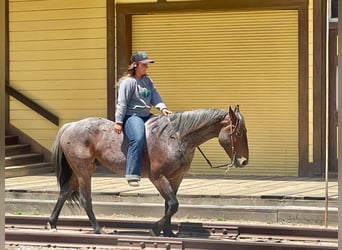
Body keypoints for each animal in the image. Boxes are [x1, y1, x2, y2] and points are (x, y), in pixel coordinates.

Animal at [47, 105, 248, 236]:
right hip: (84, 170)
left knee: (64, 192)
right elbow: (173, 204)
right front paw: (155, 229)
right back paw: (97, 228)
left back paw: (52, 223)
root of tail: (70, 126)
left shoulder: (175, 178)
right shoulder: (158, 177)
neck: (175, 138)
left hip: (79, 170)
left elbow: (170, 205)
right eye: (239, 133)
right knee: (84, 198)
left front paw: (168, 232)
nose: (244, 161)